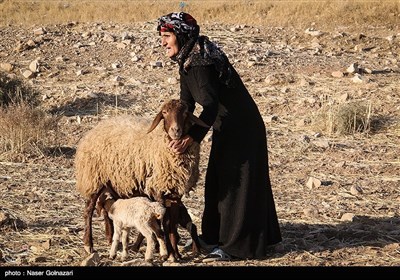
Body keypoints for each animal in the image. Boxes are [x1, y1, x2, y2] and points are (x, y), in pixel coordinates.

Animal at [74, 98, 208, 260]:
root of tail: (96, 128)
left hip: (114, 182)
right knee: (88, 210)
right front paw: (169, 253)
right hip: (95, 178)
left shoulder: (175, 193)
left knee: (108, 207)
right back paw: (89, 245)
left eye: (185, 113)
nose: (176, 131)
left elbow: (171, 224)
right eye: (164, 112)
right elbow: (166, 222)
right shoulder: (158, 189)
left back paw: (110, 237)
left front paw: (174, 253)